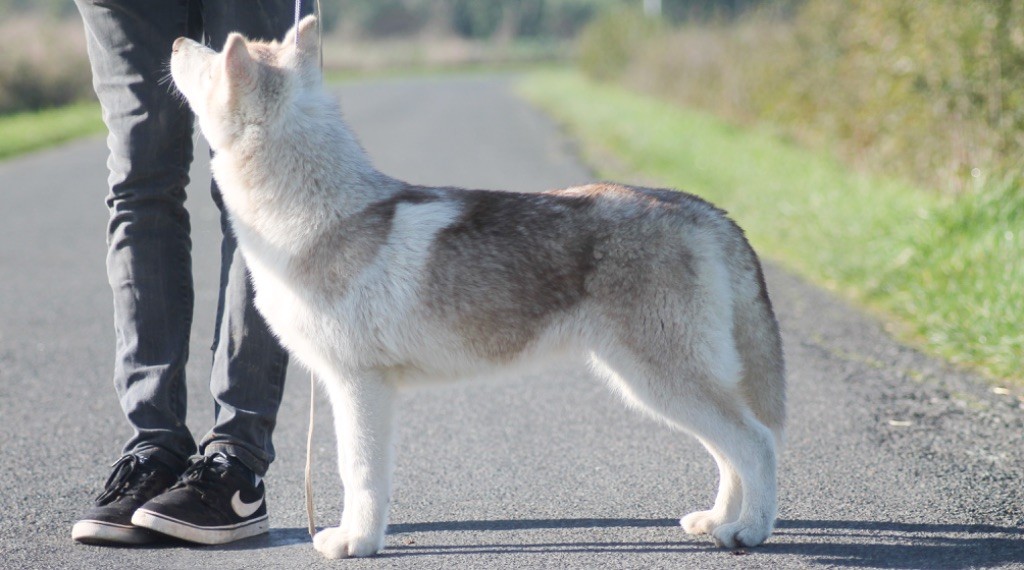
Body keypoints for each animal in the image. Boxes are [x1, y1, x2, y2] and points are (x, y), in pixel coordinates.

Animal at [172, 15, 786, 556]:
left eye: (212, 59)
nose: (177, 39)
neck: (316, 214)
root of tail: (701, 209)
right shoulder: (354, 386)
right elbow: (362, 473)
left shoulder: (359, 384)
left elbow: (359, 473)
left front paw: (356, 543)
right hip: (657, 386)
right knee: (731, 453)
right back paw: (716, 521)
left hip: (661, 382)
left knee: (756, 443)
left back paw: (748, 531)